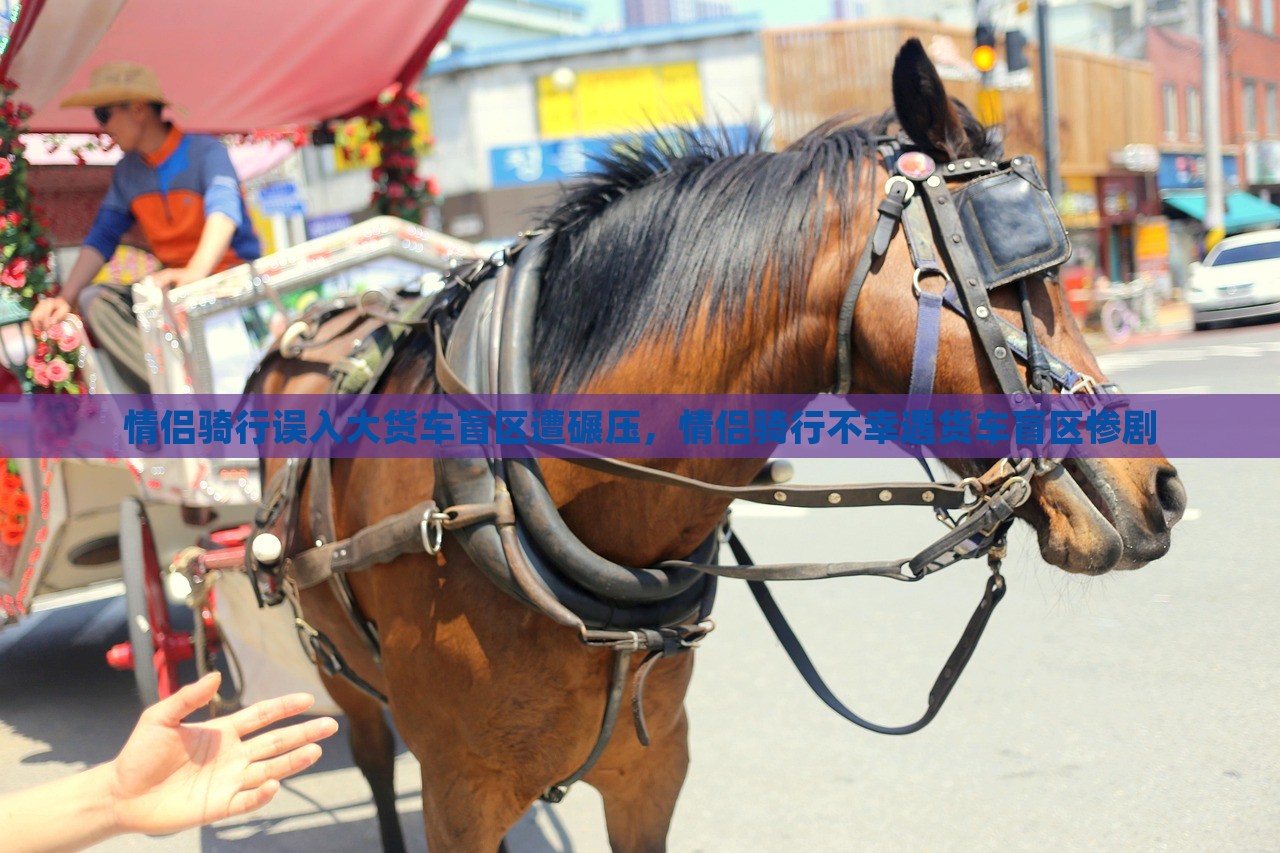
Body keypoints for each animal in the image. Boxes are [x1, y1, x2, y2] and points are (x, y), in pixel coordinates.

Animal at [249, 38, 1187, 850]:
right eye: (1018, 271)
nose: (1163, 492)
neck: (523, 500)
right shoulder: (458, 797)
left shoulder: (649, 772)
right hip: (342, 681)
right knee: (373, 765)